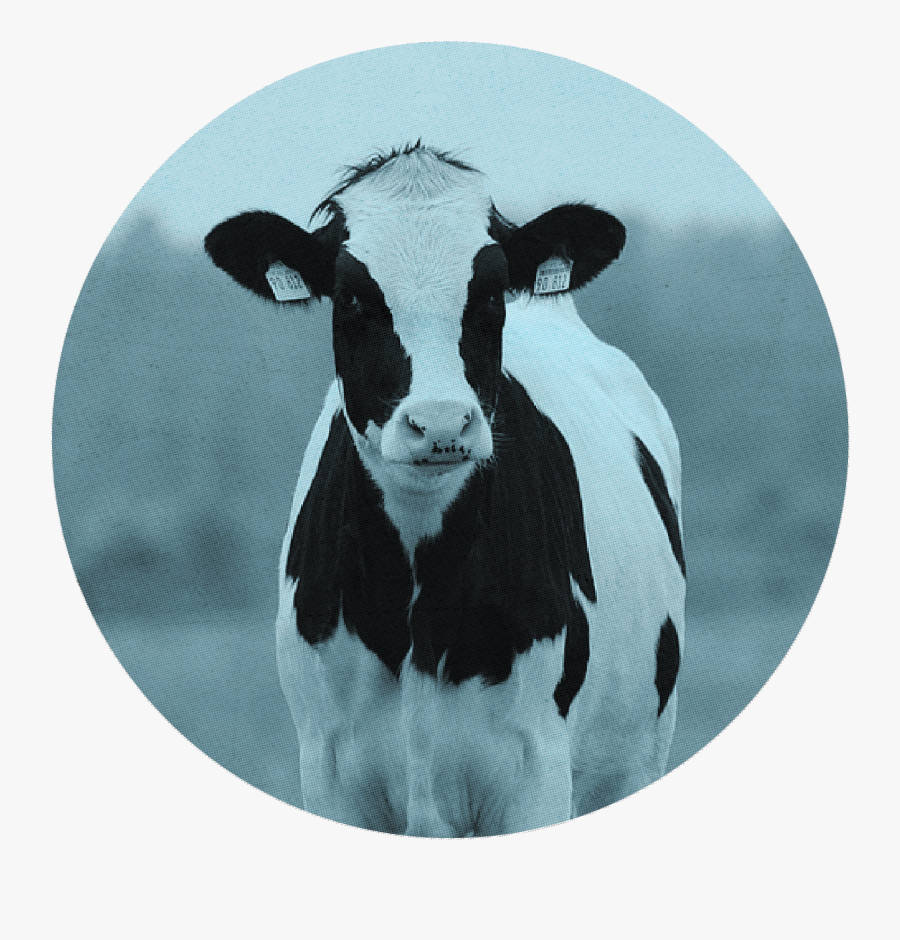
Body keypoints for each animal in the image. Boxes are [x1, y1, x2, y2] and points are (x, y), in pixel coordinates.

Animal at [205, 143, 685, 837]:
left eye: (489, 294)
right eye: (352, 298)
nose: (439, 424)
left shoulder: (536, 769)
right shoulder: (329, 770)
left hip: (637, 760)